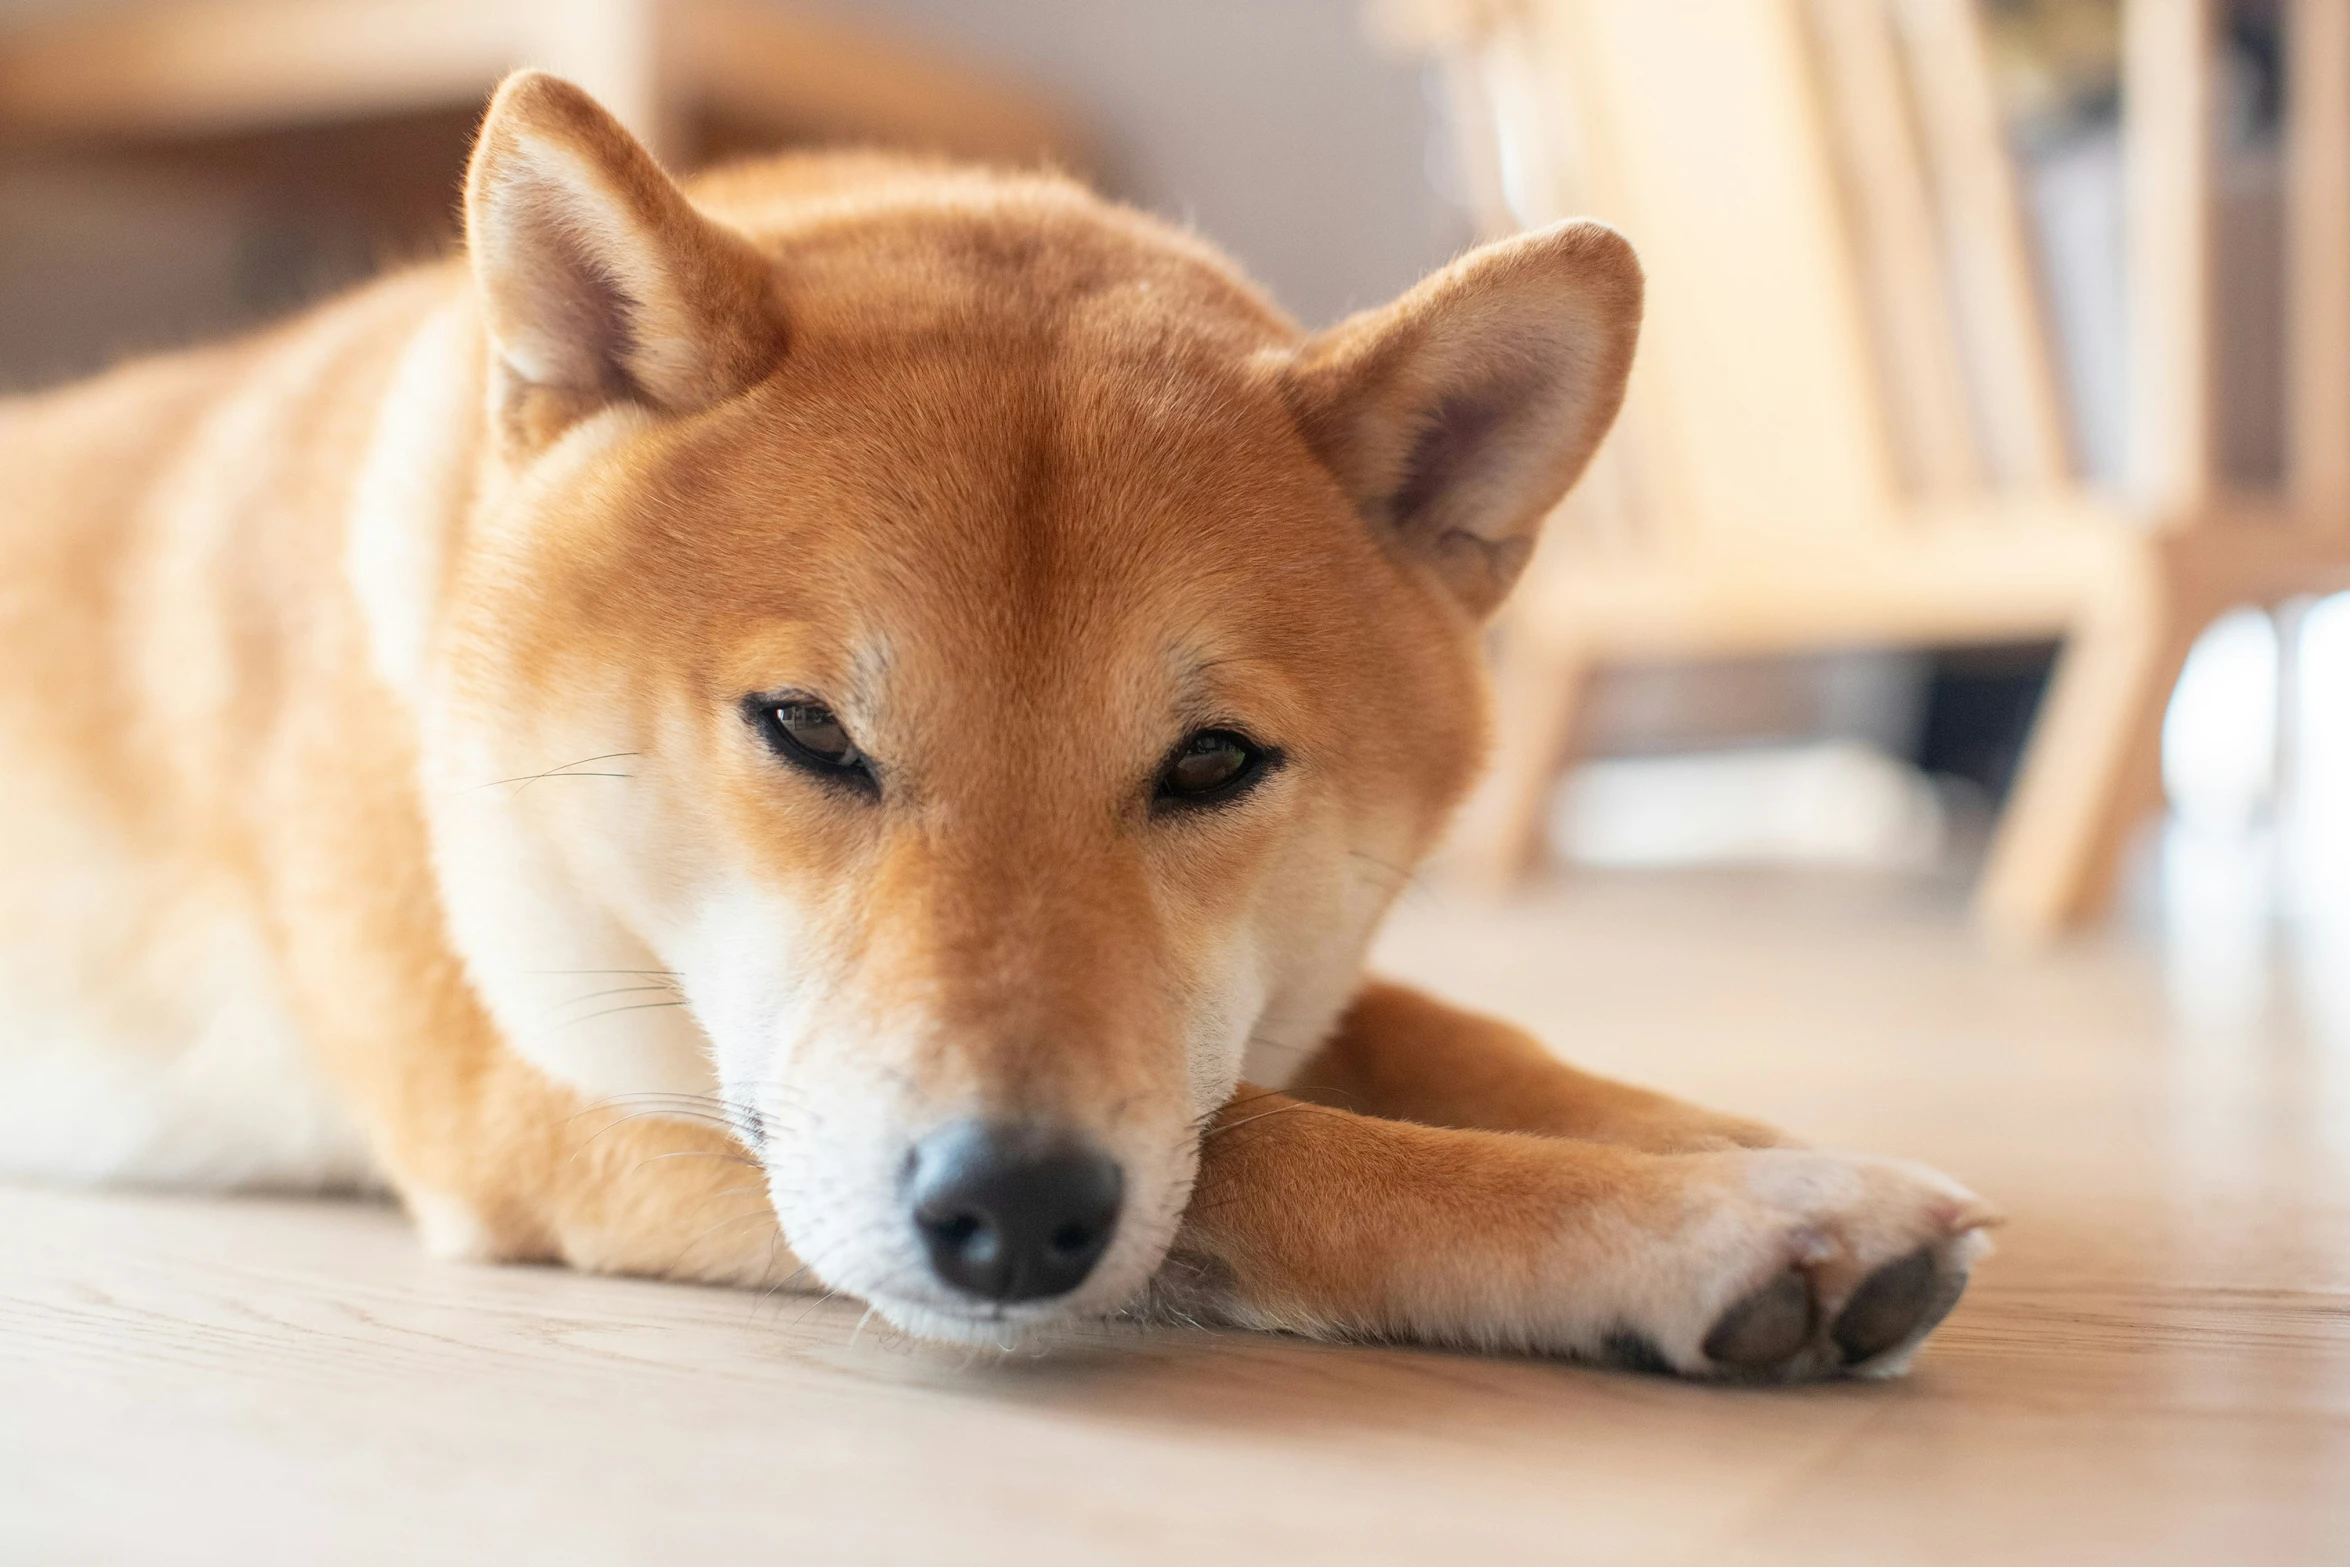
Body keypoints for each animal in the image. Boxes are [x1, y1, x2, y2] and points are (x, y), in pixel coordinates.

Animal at [0, 73, 1983, 1381]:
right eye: (805, 730)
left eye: (1212, 762)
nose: (1014, 1209)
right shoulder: (538, 1099)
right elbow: (1283, 1145)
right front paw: (1716, 1224)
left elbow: (1435, 1034)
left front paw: (1717, 1137)